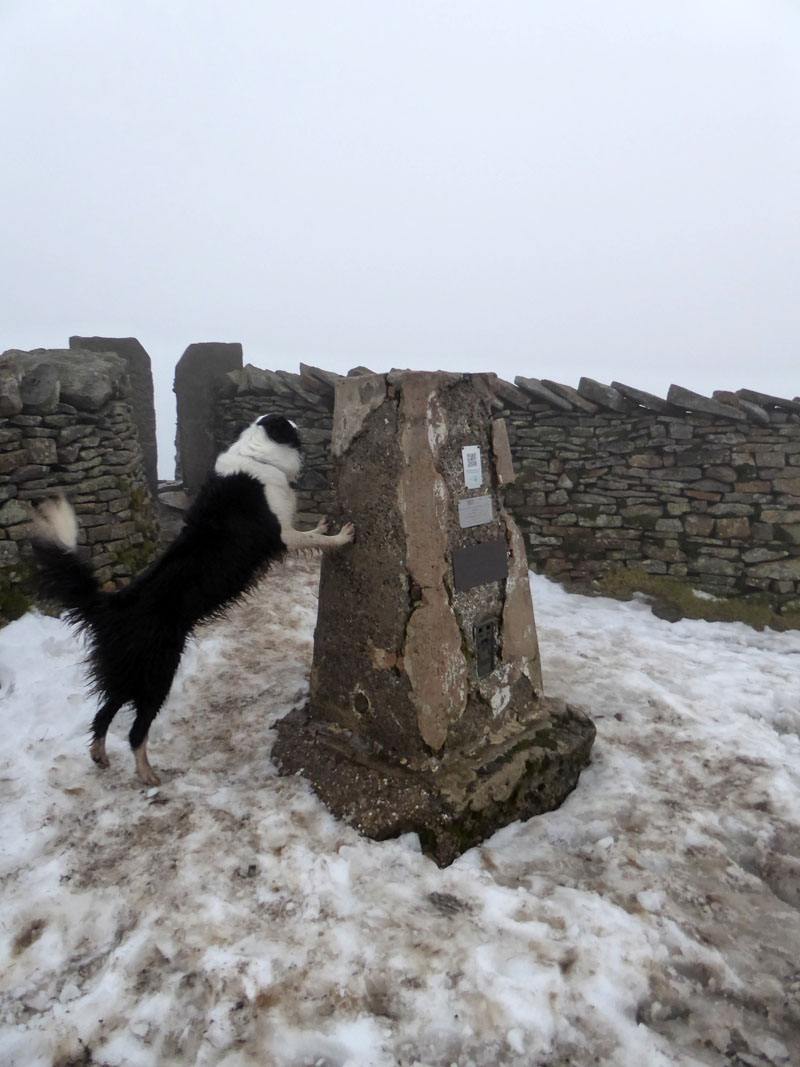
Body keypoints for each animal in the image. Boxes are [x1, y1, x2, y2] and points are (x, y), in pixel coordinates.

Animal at [33, 413, 354, 785]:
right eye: (288, 424)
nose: (304, 424)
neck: (258, 456)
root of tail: (112, 605)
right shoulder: (280, 536)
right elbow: (312, 540)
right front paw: (341, 536)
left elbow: (312, 535)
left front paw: (325, 526)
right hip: (157, 674)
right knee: (136, 730)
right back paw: (147, 774)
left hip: (126, 675)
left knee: (103, 713)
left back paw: (100, 755)